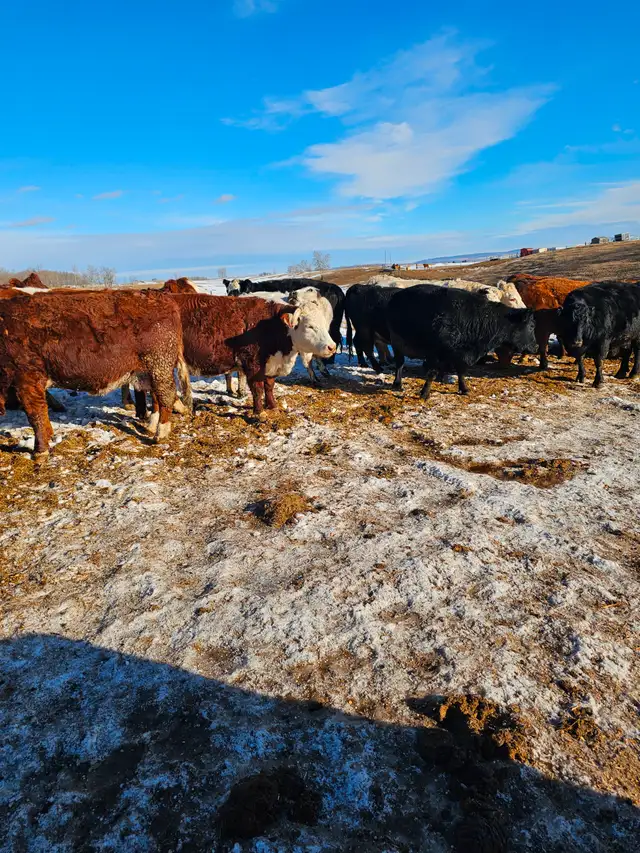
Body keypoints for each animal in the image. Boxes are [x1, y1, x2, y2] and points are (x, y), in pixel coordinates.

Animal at [0, 290, 189, 459]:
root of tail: (159, 297)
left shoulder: (27, 378)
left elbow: (36, 415)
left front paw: (40, 451)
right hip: (148, 371)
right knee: (157, 395)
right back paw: (152, 425)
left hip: (159, 364)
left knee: (166, 395)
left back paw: (161, 432)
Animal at [386, 285, 536, 399]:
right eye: (531, 326)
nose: (535, 347)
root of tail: (397, 295)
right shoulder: (435, 353)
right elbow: (432, 373)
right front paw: (425, 394)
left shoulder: (461, 354)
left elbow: (461, 371)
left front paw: (464, 389)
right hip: (397, 343)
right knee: (399, 363)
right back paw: (397, 383)